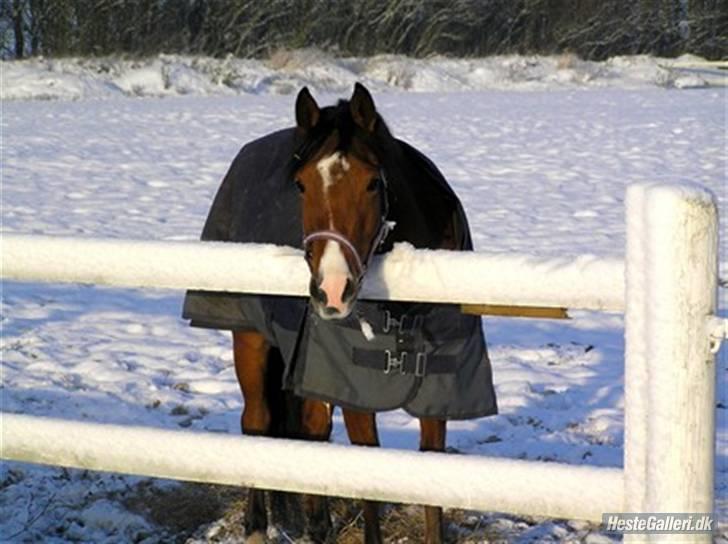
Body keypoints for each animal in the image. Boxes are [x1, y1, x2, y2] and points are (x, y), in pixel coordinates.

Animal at [183, 83, 497, 543]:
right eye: (300, 185)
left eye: (372, 183)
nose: (332, 289)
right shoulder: (355, 390)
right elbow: (366, 475)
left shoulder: (440, 389)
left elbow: (430, 487)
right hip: (250, 339)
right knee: (256, 422)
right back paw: (258, 527)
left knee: (312, 430)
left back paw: (318, 525)